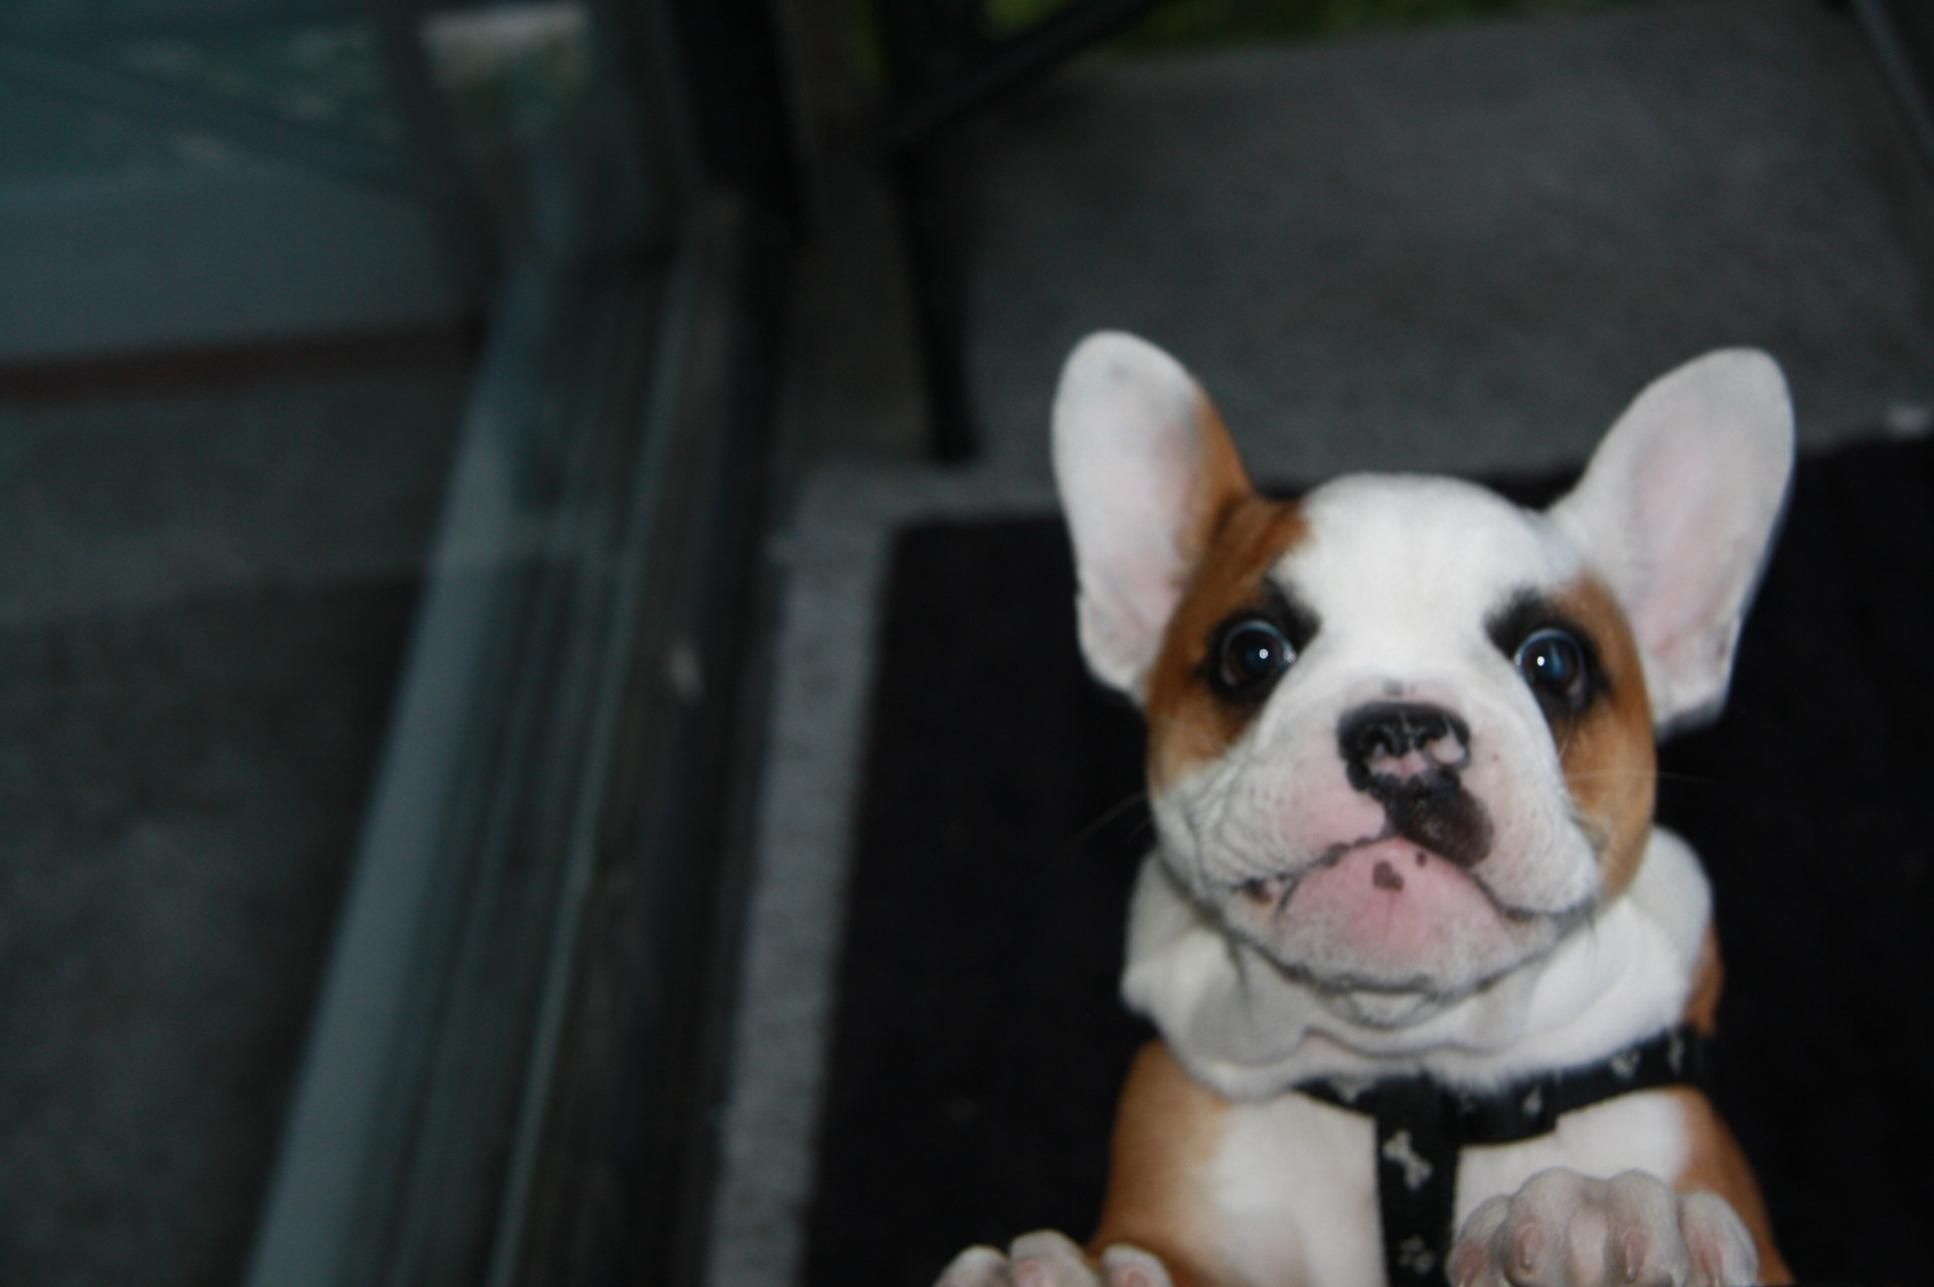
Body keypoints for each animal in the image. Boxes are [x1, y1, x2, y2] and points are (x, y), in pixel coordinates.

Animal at [936, 333, 1794, 1287]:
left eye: (1554, 661)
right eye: (1251, 652)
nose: (1403, 729)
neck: (1407, 1077)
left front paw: (1599, 1222)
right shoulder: (1176, 1215)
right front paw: (1065, 1275)